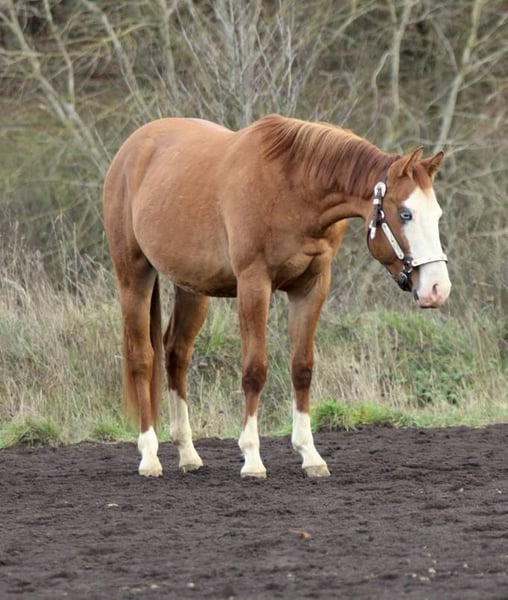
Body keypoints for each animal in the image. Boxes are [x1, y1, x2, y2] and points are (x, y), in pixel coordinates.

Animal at [103, 114, 451, 479]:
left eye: (437, 215)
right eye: (405, 214)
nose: (437, 289)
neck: (294, 188)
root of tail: (132, 148)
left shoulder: (311, 287)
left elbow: (302, 368)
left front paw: (310, 455)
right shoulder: (254, 284)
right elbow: (255, 370)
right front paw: (252, 459)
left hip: (192, 288)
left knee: (175, 355)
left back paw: (187, 454)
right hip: (133, 276)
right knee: (142, 357)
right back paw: (149, 456)